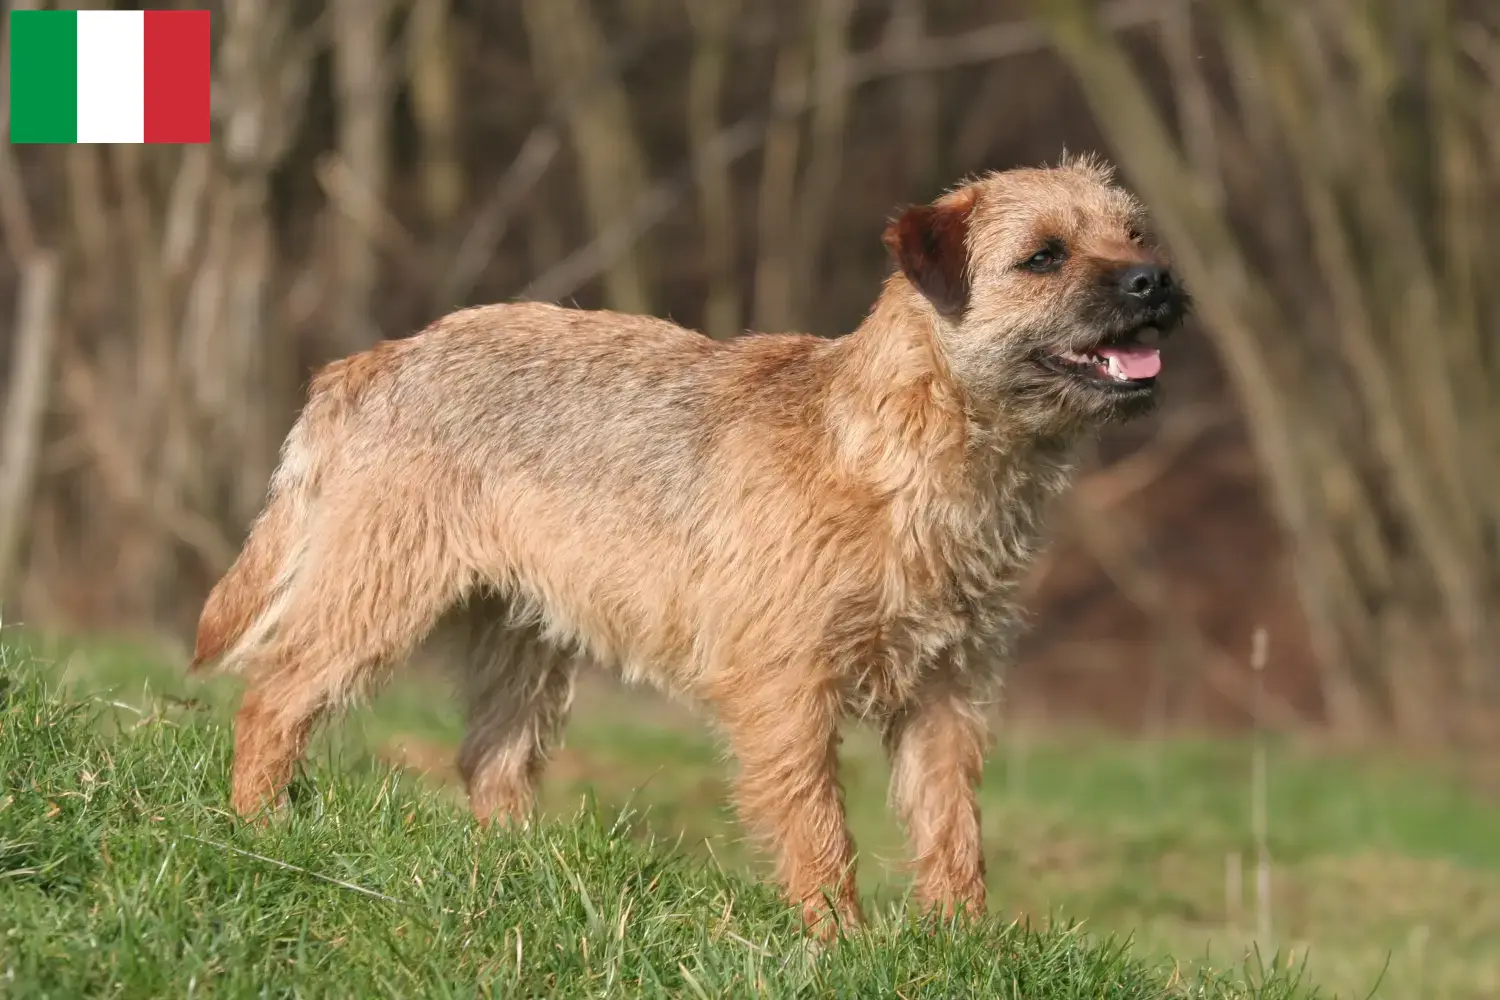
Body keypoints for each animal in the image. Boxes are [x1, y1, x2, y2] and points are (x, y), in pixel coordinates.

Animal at [193, 152, 1188, 935]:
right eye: (1044, 256)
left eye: (1135, 235)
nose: (1156, 280)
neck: (910, 447)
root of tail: (373, 362)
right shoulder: (785, 691)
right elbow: (817, 826)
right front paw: (839, 942)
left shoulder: (948, 694)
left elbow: (951, 829)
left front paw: (964, 945)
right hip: (379, 591)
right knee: (273, 697)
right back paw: (260, 831)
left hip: (523, 639)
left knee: (490, 759)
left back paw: (518, 873)